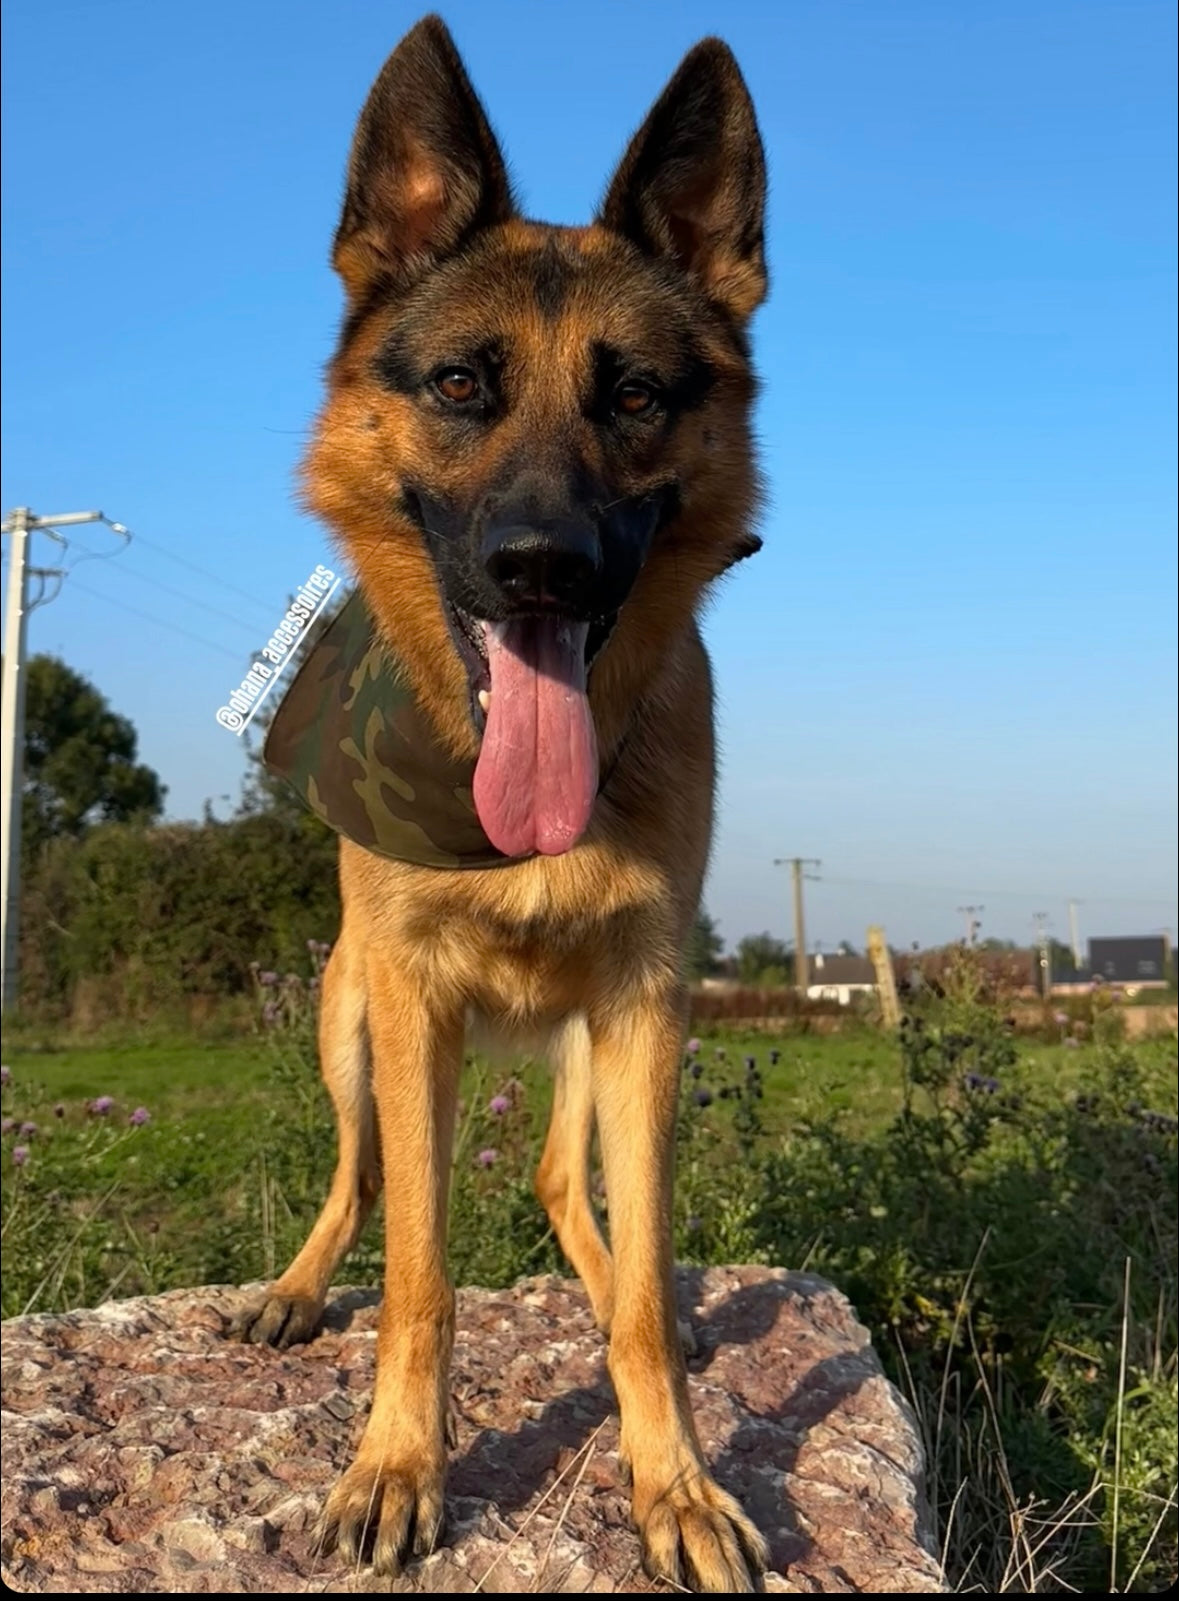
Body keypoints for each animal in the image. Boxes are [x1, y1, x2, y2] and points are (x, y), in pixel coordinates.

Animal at [240, 12, 775, 1588]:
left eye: (637, 395)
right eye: (461, 386)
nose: (541, 564)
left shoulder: (647, 1002)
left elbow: (644, 1280)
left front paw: (673, 1481)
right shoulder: (413, 1002)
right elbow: (419, 1268)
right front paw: (397, 1466)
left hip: (596, 1038)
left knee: (561, 1186)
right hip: (350, 1021)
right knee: (359, 1180)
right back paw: (298, 1285)